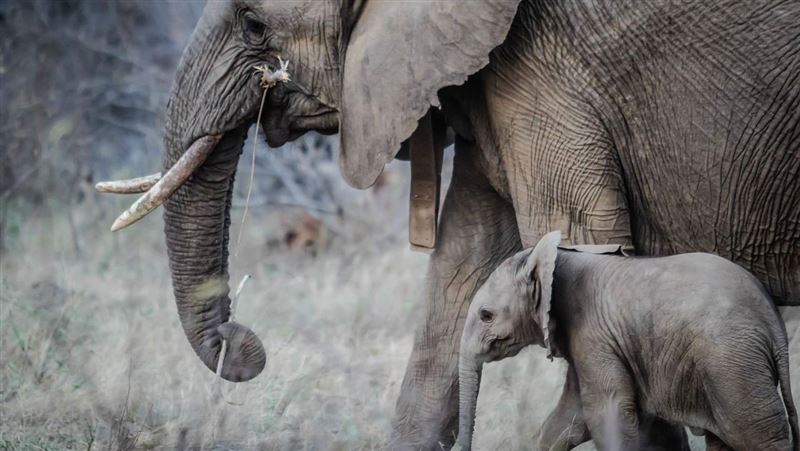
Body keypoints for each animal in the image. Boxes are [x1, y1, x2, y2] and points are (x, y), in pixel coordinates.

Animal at [457, 231, 800, 451]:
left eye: (486, 315)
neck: (557, 256)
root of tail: (773, 323)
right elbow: (569, 420)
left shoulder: (593, 333)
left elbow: (607, 414)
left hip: (731, 364)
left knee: (756, 436)